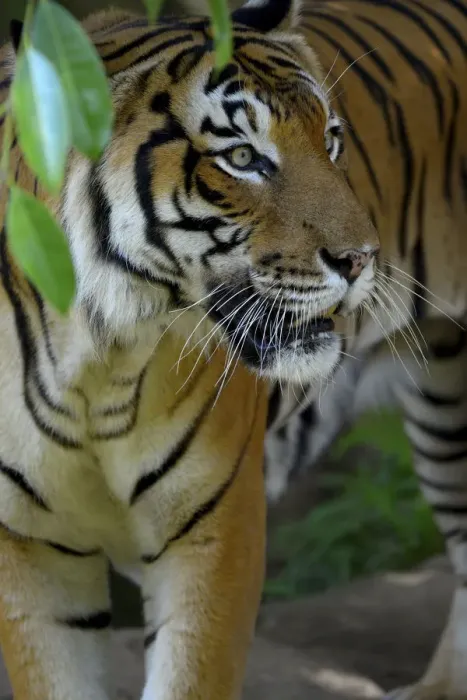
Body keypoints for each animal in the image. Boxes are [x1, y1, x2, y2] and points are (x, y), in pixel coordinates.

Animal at [0, 0, 379, 698]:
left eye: (332, 140)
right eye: (243, 157)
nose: (362, 259)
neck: (94, 363)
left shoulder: (214, 530)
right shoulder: (28, 547)